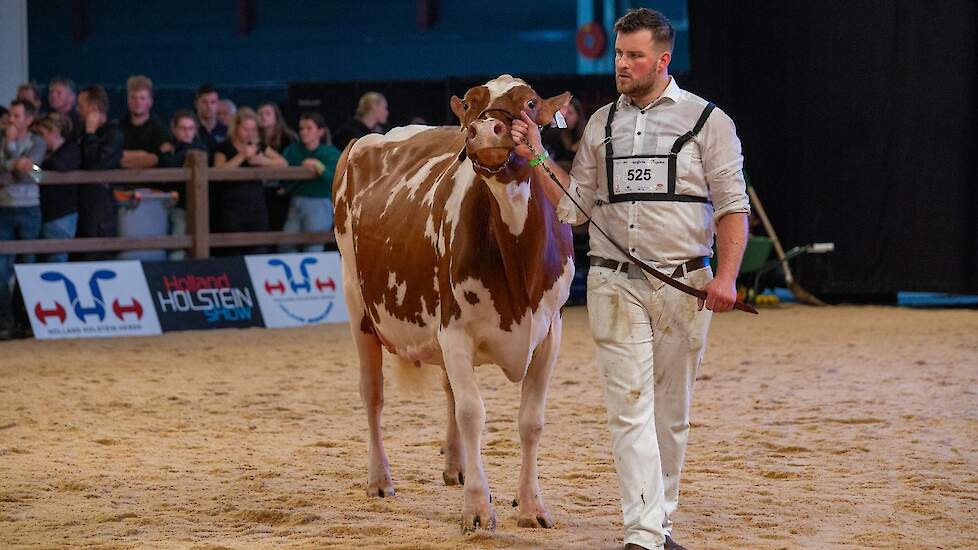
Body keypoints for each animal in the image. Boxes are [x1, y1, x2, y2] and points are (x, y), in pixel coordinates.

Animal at [332, 75, 572, 532]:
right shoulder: (455, 330)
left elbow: (531, 422)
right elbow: (472, 413)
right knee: (373, 394)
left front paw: (531, 506)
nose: (486, 130)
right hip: (358, 305)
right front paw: (477, 509)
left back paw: (456, 467)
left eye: (531, 102)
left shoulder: (550, 331)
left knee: (445, 390)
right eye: (473, 104)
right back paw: (380, 480)